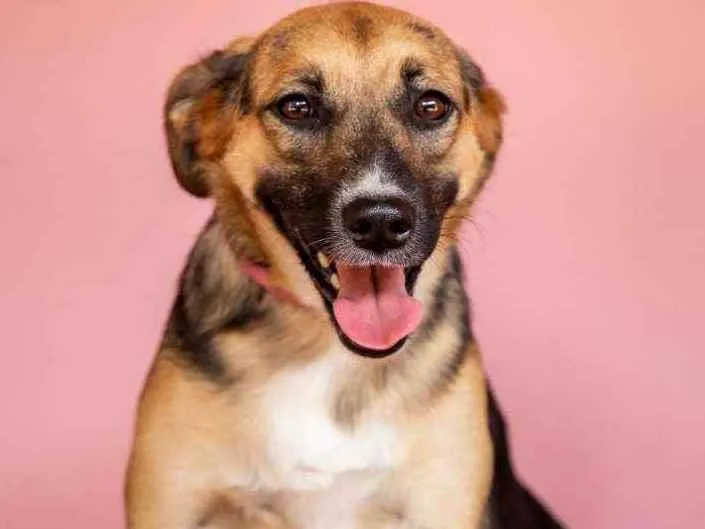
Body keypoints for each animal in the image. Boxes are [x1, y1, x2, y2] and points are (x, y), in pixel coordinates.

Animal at [125, 2, 564, 528]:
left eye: (430, 106)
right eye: (297, 107)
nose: (380, 223)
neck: (328, 349)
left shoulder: (440, 502)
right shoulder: (168, 502)